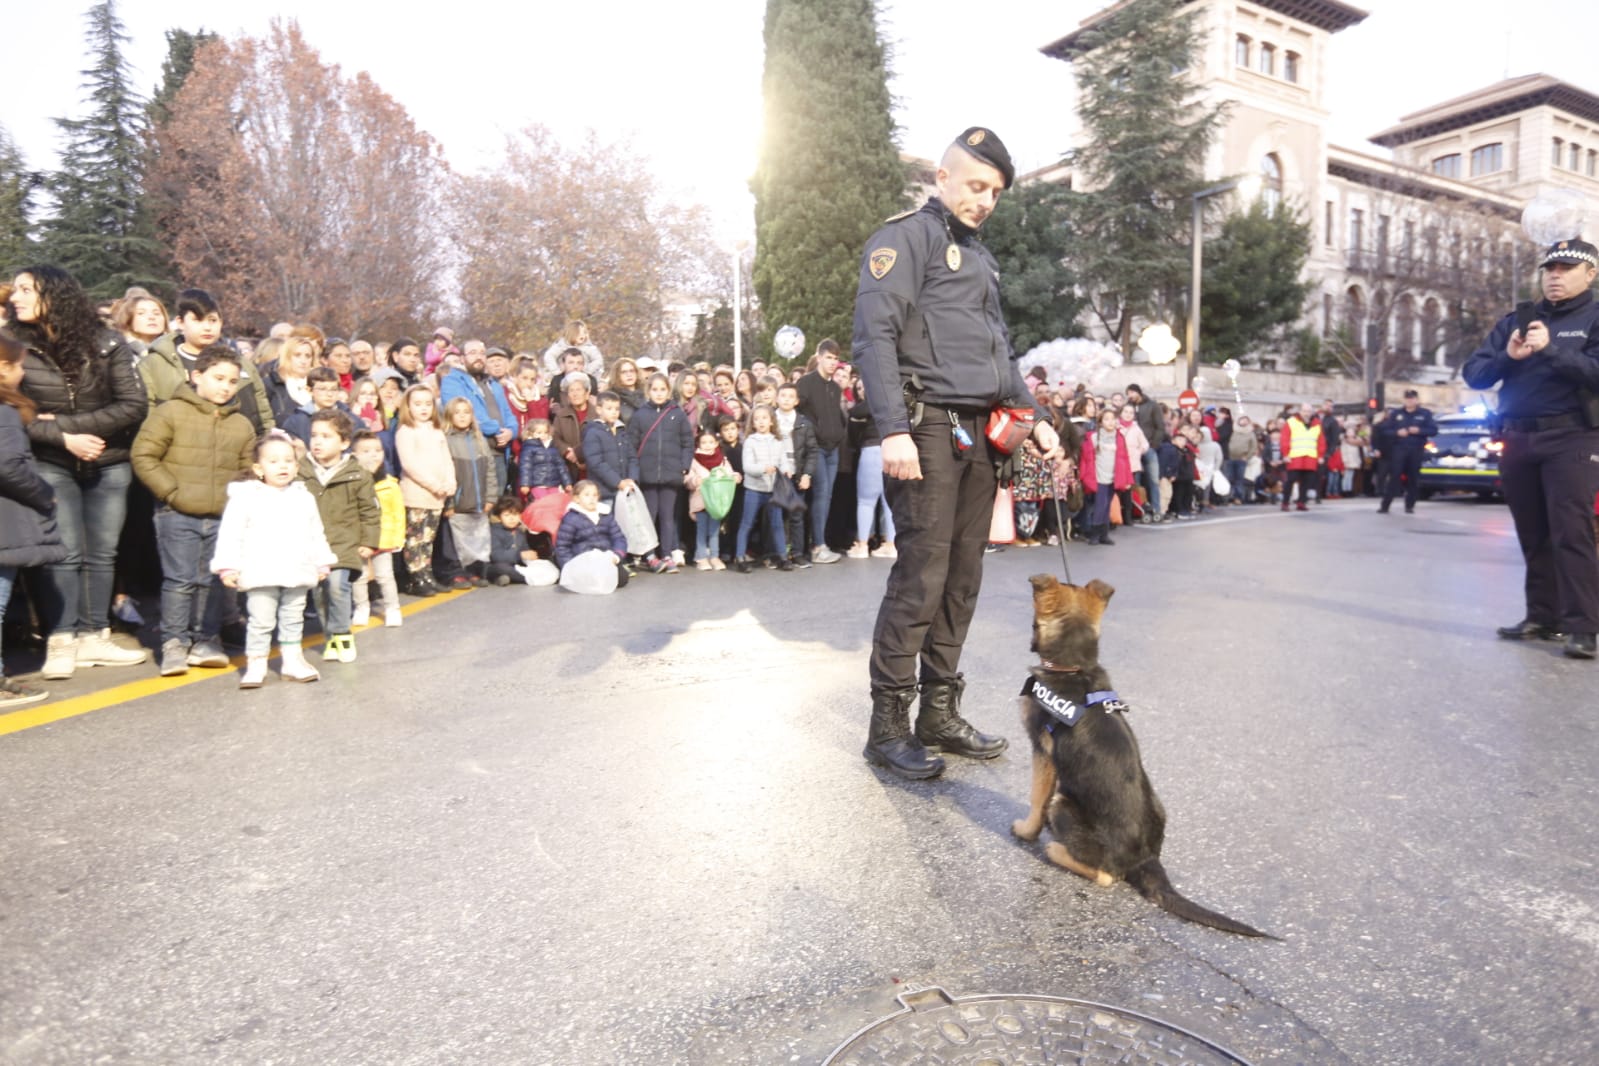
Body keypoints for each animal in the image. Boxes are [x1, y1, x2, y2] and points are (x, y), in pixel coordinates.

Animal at [1010, 578, 1272, 939]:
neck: (1075, 667)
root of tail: (1146, 859)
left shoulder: (1041, 751)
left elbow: (1036, 798)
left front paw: (1027, 831)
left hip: (1063, 804)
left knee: (1106, 875)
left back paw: (1056, 849)